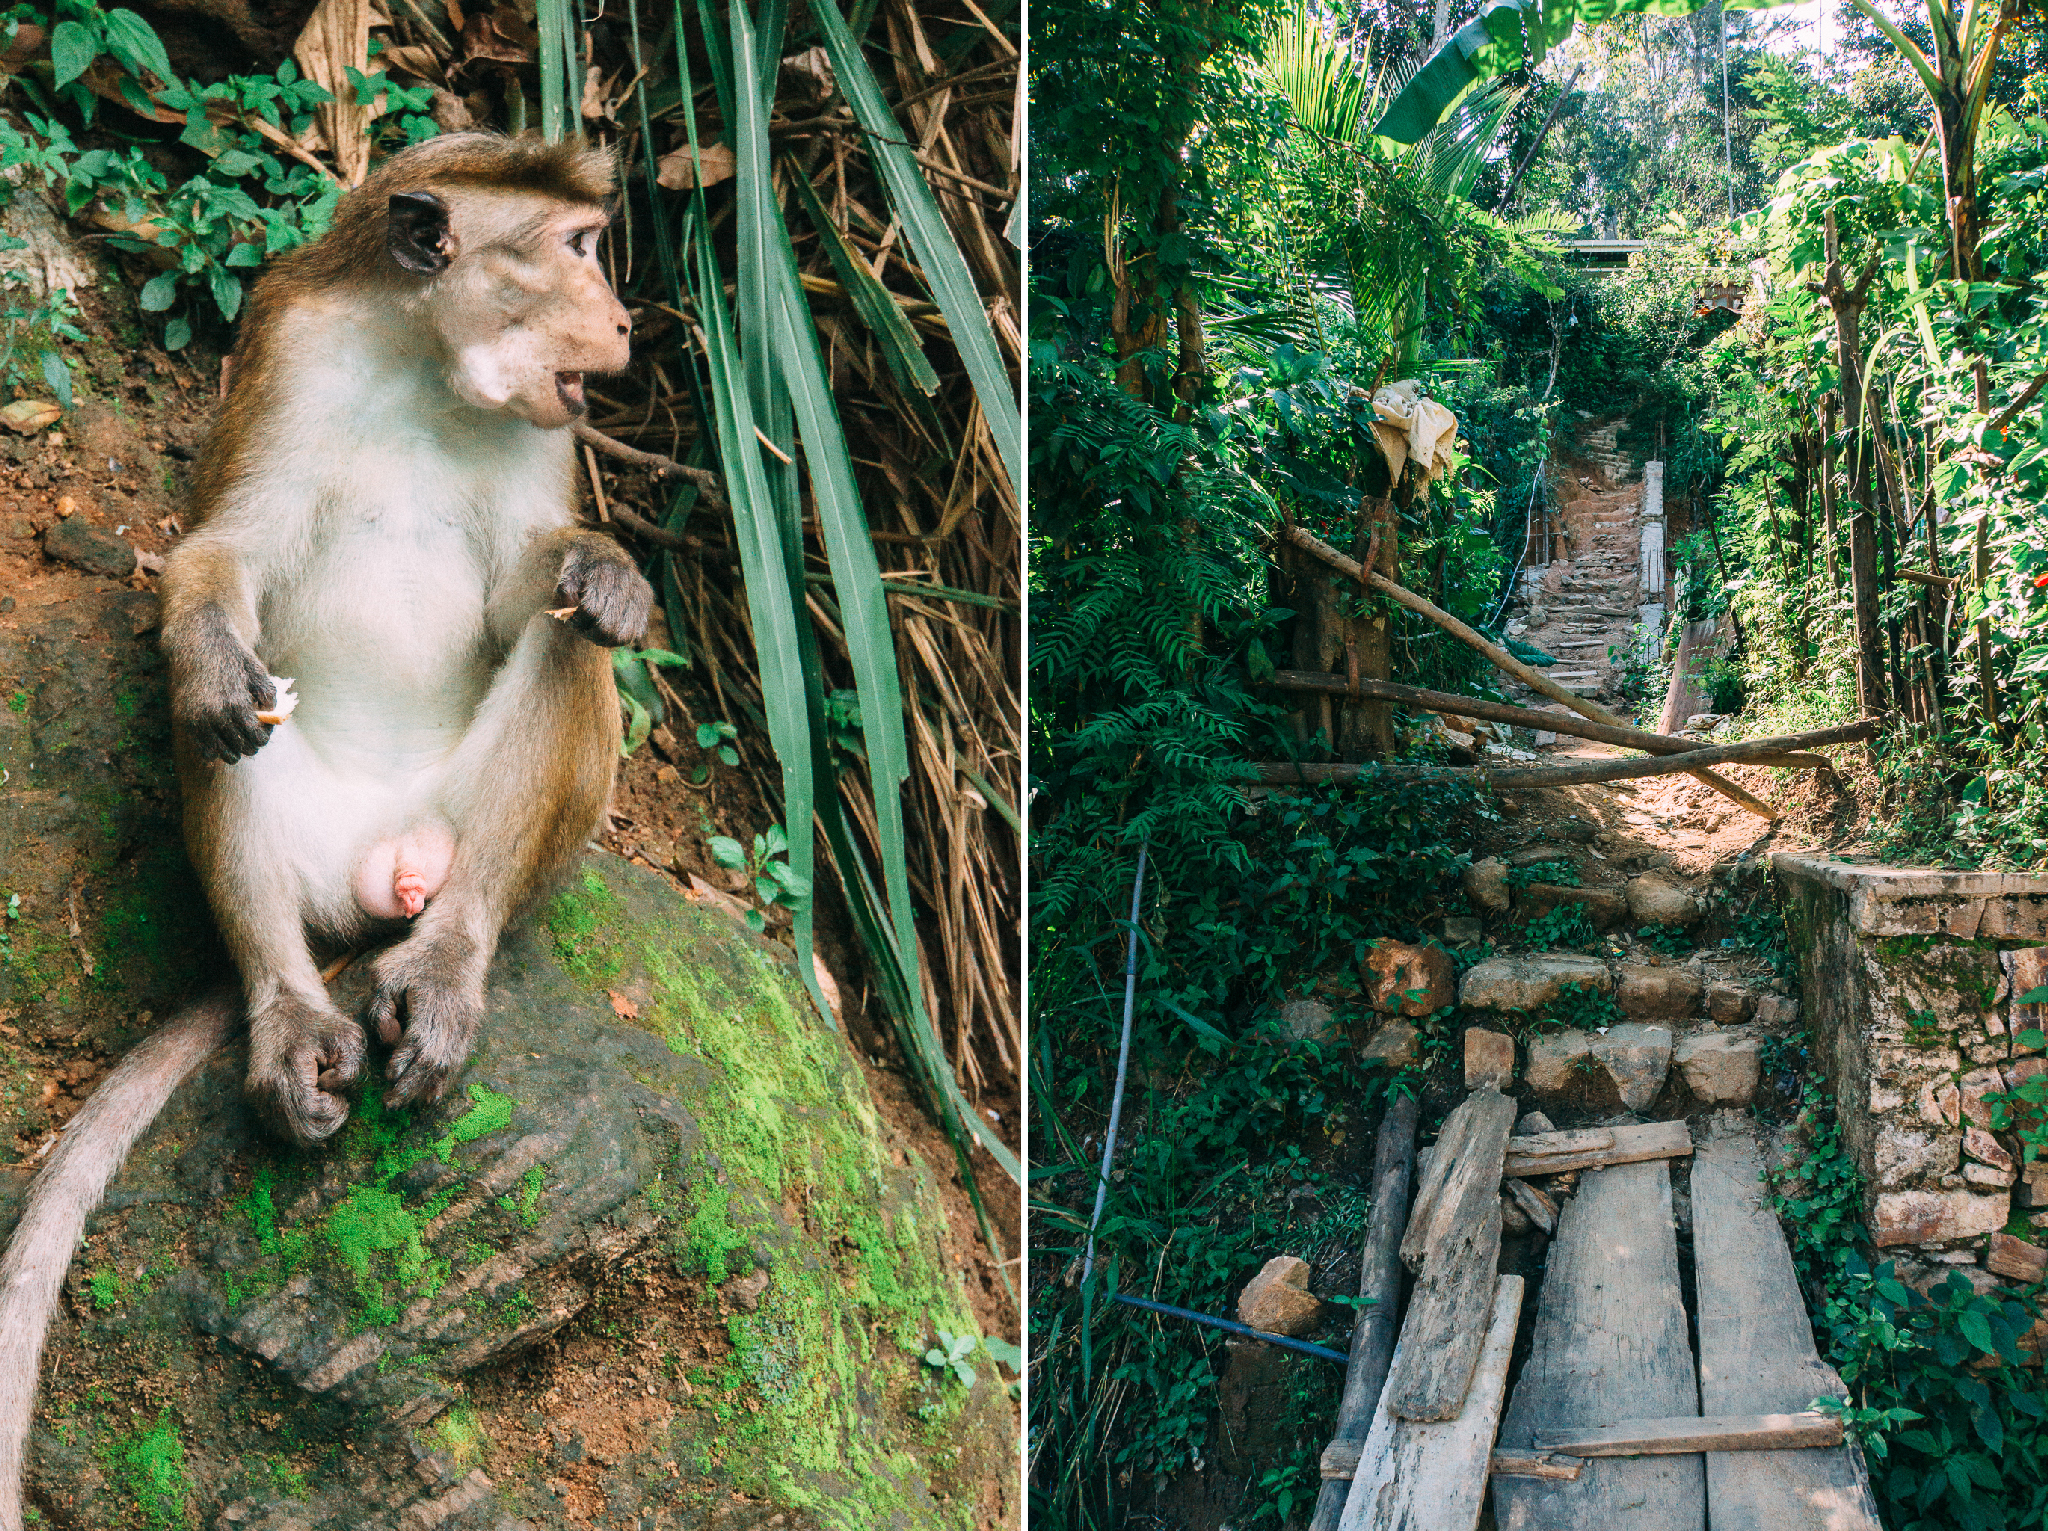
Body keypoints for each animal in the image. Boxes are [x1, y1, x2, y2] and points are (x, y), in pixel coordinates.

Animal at [0, 133, 654, 1531]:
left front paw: (611, 567)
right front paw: (204, 641)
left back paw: (450, 956)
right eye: (575, 250)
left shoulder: (545, 434)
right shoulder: (285, 349)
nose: (626, 317)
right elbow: (224, 557)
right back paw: (287, 1007)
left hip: (475, 840)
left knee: (570, 651)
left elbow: (535, 590)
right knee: (221, 721)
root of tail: (375, 884)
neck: (423, 365)